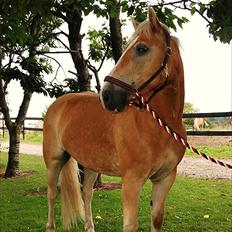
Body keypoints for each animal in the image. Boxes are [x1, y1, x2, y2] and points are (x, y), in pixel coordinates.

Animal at [43, 7, 187, 232]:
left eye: (141, 49)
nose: (107, 96)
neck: (160, 126)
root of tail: (58, 104)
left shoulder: (165, 178)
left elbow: (156, 219)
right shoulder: (131, 181)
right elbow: (131, 225)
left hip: (90, 164)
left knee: (87, 193)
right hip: (54, 160)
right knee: (51, 194)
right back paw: (51, 226)